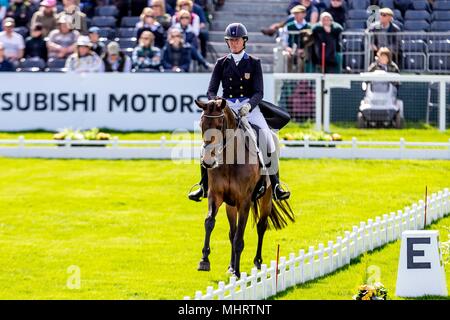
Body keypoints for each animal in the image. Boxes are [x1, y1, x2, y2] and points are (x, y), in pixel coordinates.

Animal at [194, 97, 294, 278]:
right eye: (201, 124)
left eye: (219, 125)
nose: (207, 161)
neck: (231, 159)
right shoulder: (215, 196)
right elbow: (210, 222)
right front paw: (204, 260)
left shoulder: (244, 202)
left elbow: (239, 238)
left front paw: (238, 273)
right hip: (230, 205)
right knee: (232, 232)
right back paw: (231, 265)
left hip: (266, 198)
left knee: (261, 226)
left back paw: (257, 262)